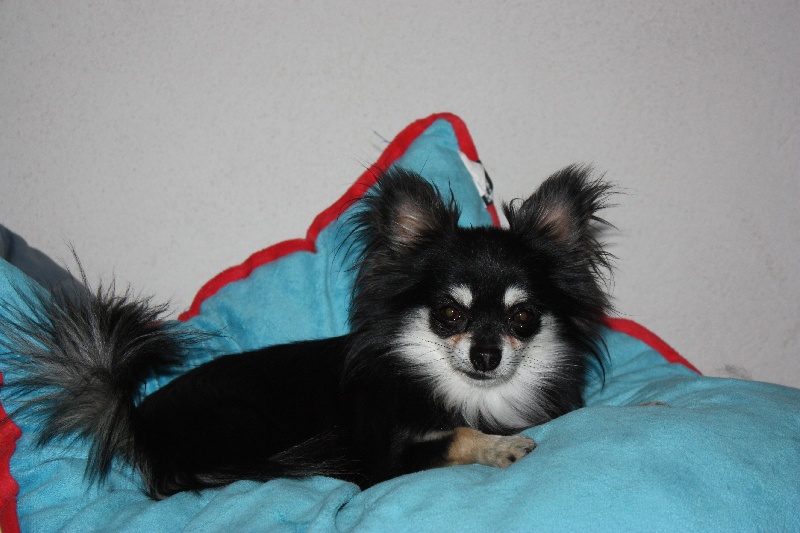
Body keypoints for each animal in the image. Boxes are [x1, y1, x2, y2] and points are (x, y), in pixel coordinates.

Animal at [0, 165, 613, 498]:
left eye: (521, 319)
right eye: (450, 315)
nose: (486, 354)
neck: (472, 394)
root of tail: (138, 419)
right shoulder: (384, 461)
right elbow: (456, 435)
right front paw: (500, 445)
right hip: (245, 424)